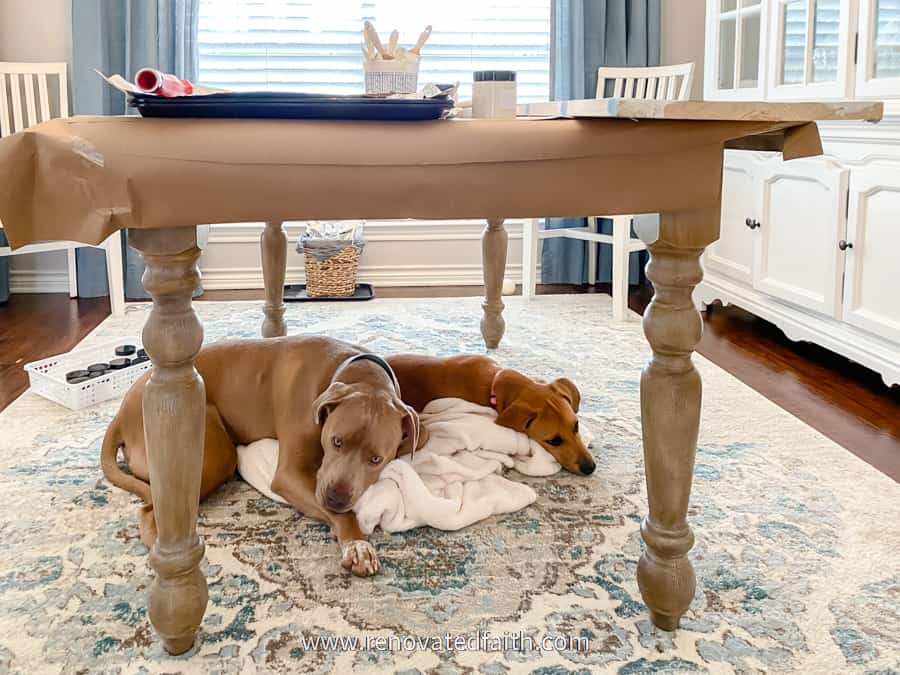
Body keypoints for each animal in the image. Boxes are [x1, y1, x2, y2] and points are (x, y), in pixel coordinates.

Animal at [103, 336, 422, 576]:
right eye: (337, 441)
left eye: (376, 459)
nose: (336, 497)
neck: (353, 372)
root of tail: (120, 414)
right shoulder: (290, 475)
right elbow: (342, 516)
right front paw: (357, 545)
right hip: (210, 453)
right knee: (151, 512)